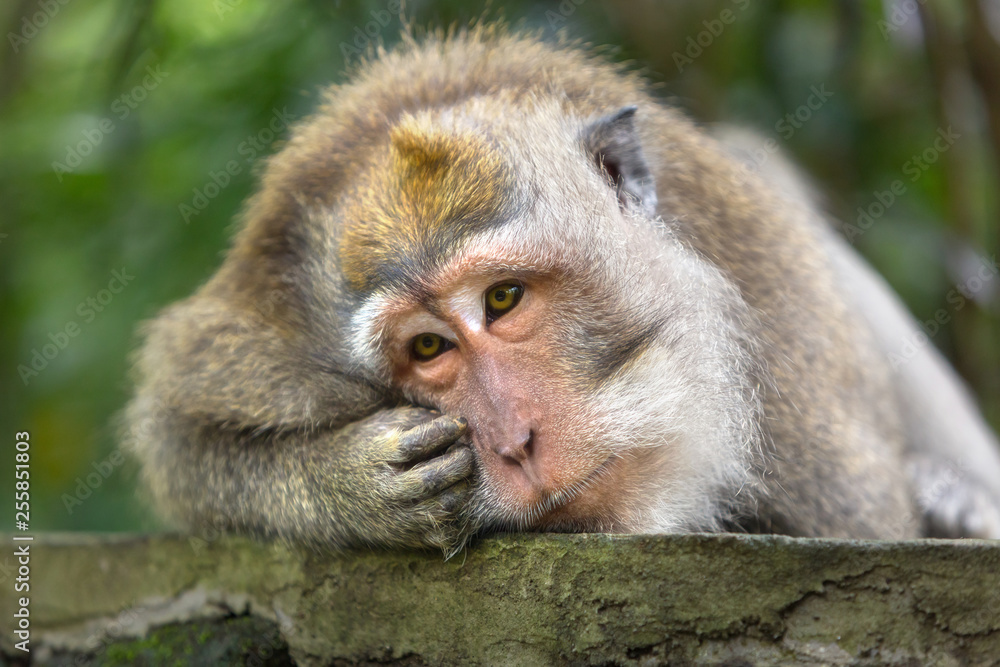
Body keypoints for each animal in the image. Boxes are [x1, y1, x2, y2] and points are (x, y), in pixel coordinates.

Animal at [123, 24, 1000, 560]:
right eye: (429, 346)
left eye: (504, 299)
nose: (515, 443)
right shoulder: (267, 352)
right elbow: (178, 441)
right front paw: (352, 480)